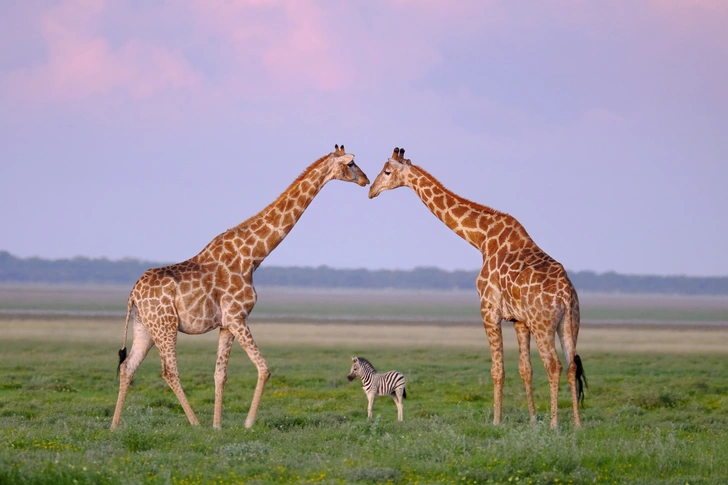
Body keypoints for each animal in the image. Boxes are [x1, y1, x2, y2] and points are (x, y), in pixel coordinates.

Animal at [112, 144, 370, 428]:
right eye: (351, 164)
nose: (366, 180)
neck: (253, 256)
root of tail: (133, 293)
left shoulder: (226, 324)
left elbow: (220, 374)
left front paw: (218, 426)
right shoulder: (238, 317)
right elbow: (264, 368)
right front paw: (246, 424)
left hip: (145, 326)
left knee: (128, 366)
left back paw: (114, 426)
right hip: (165, 325)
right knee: (169, 372)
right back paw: (195, 424)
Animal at [370, 147, 584, 428]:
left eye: (386, 171)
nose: (371, 190)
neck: (481, 239)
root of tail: (565, 294)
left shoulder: (489, 310)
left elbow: (497, 369)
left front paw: (497, 421)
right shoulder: (519, 320)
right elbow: (525, 369)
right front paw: (532, 420)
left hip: (543, 325)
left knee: (554, 365)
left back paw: (555, 424)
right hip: (570, 323)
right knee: (572, 365)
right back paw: (578, 424)